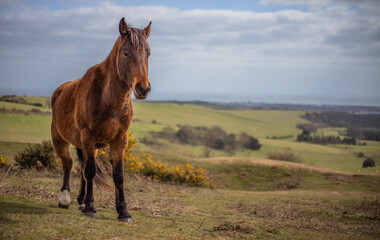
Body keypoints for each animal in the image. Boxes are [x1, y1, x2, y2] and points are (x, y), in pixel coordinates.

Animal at [50, 17, 151, 222]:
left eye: (148, 53)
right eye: (125, 52)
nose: (143, 88)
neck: (108, 98)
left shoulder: (120, 140)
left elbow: (118, 175)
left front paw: (123, 212)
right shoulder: (88, 136)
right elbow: (90, 171)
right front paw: (91, 208)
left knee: (80, 167)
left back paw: (80, 201)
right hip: (60, 140)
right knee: (68, 164)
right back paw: (65, 198)